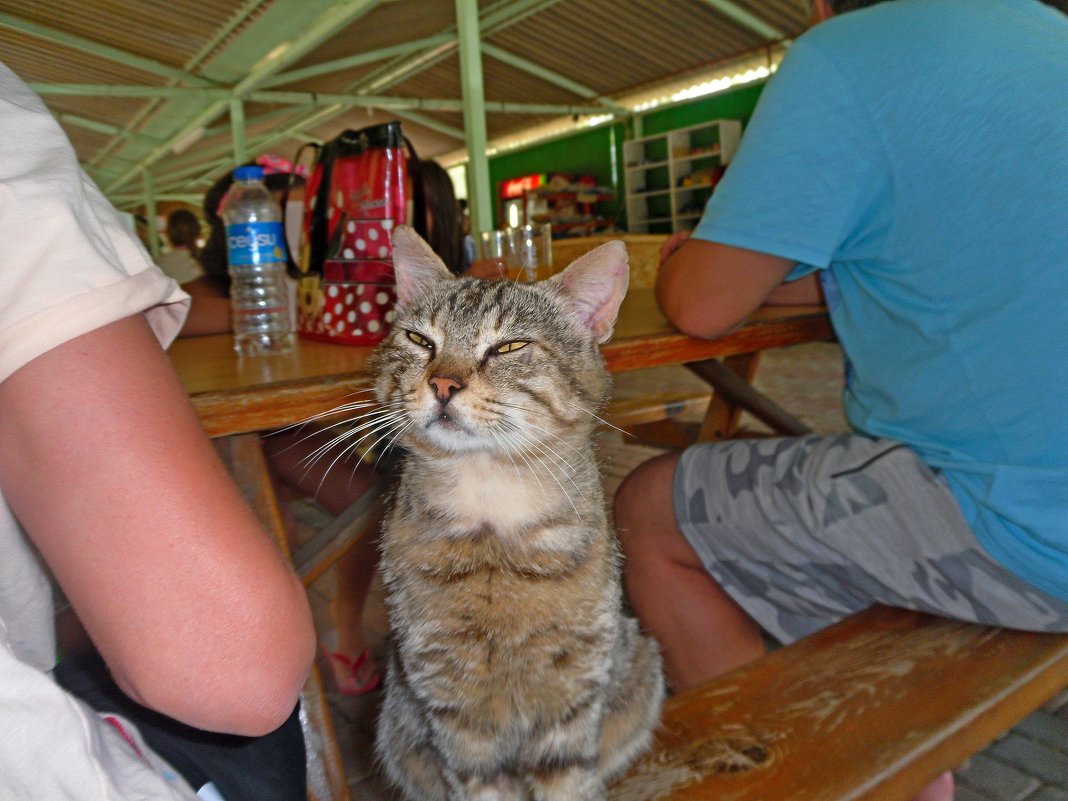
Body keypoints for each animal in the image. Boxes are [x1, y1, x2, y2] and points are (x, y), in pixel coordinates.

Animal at [371, 227, 662, 801]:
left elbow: (569, 782)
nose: (443, 384)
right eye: (420, 341)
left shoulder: (574, 692)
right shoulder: (450, 708)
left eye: (508, 346)